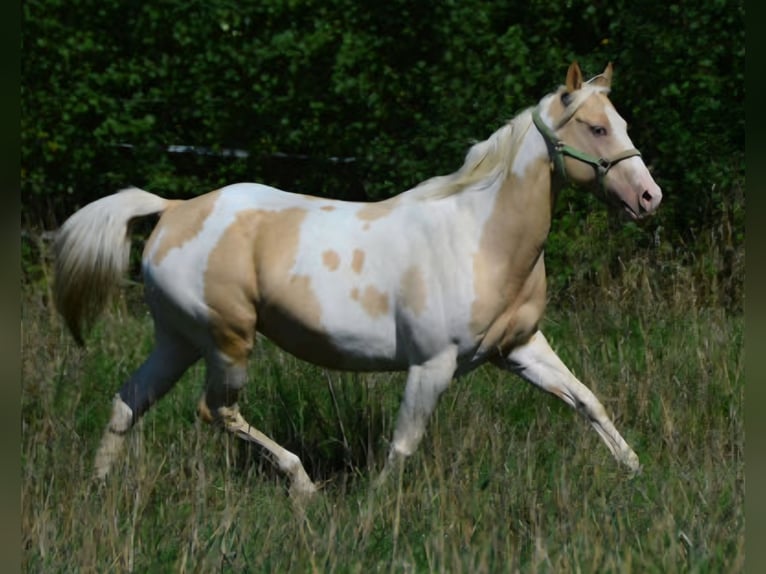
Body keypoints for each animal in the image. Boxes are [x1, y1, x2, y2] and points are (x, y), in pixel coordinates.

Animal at [53, 62, 662, 498]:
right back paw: (303, 485)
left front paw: (637, 471)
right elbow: (403, 444)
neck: (478, 237)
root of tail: (174, 210)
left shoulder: (519, 348)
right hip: (227, 341)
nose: (648, 197)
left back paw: (99, 489)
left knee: (128, 401)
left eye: (624, 125)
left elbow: (588, 401)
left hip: (177, 340)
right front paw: (375, 505)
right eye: (597, 127)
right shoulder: (432, 364)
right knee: (214, 410)